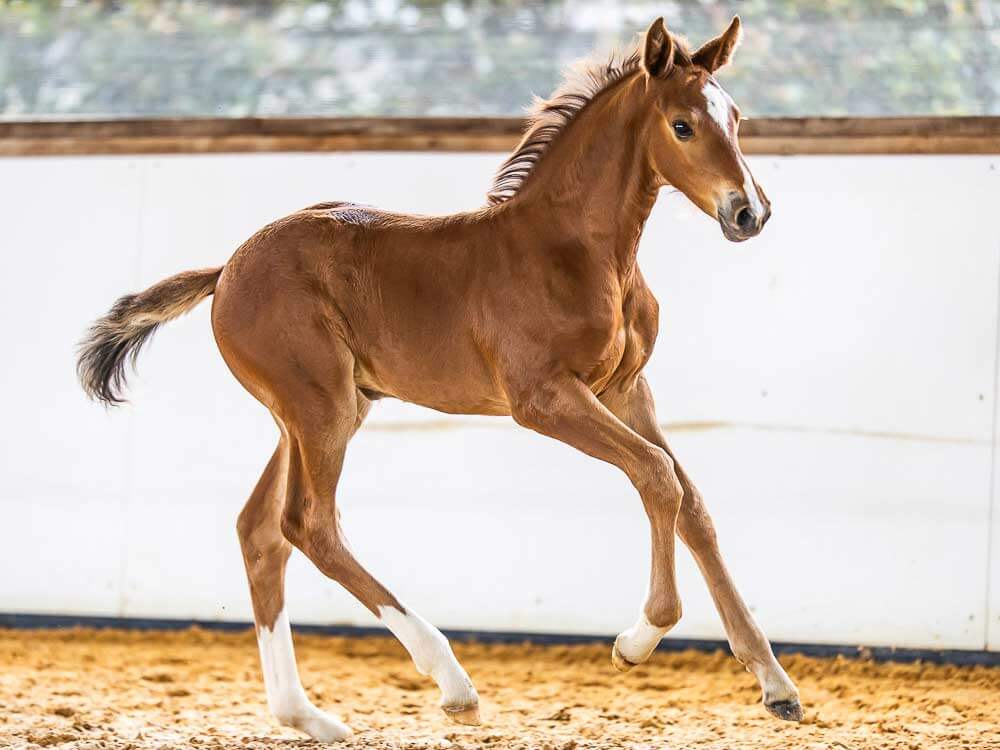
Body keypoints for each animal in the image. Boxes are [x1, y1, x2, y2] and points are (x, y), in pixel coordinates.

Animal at [77, 16, 801, 741]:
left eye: (735, 117)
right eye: (682, 125)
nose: (750, 212)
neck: (579, 251)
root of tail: (225, 269)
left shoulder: (626, 390)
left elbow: (691, 501)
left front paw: (775, 684)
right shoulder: (544, 399)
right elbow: (655, 475)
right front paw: (637, 639)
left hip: (316, 413)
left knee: (260, 531)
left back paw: (307, 716)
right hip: (321, 408)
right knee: (308, 524)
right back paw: (451, 680)